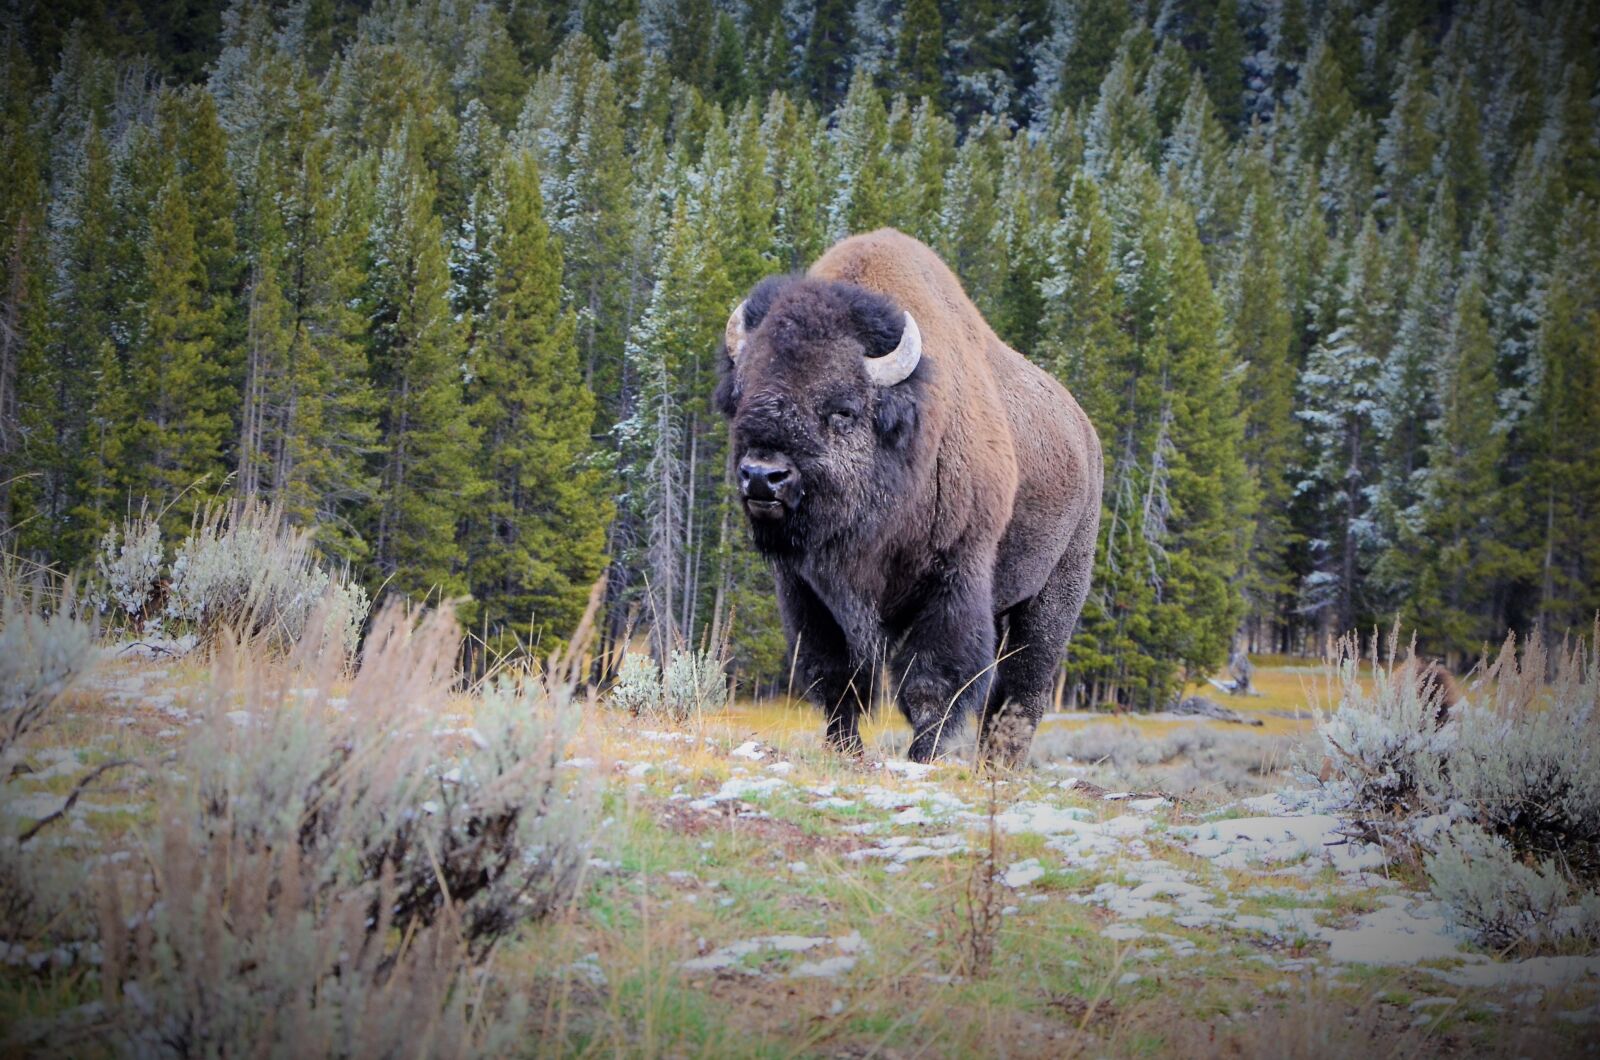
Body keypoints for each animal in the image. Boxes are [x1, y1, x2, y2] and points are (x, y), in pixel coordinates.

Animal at [714, 229, 1103, 766]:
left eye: (842, 410)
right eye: (743, 396)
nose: (762, 477)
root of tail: (1085, 436)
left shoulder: (953, 581)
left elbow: (931, 684)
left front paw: (922, 758)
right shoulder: (807, 592)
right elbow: (835, 676)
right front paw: (845, 749)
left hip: (1056, 591)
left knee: (1025, 684)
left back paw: (999, 765)